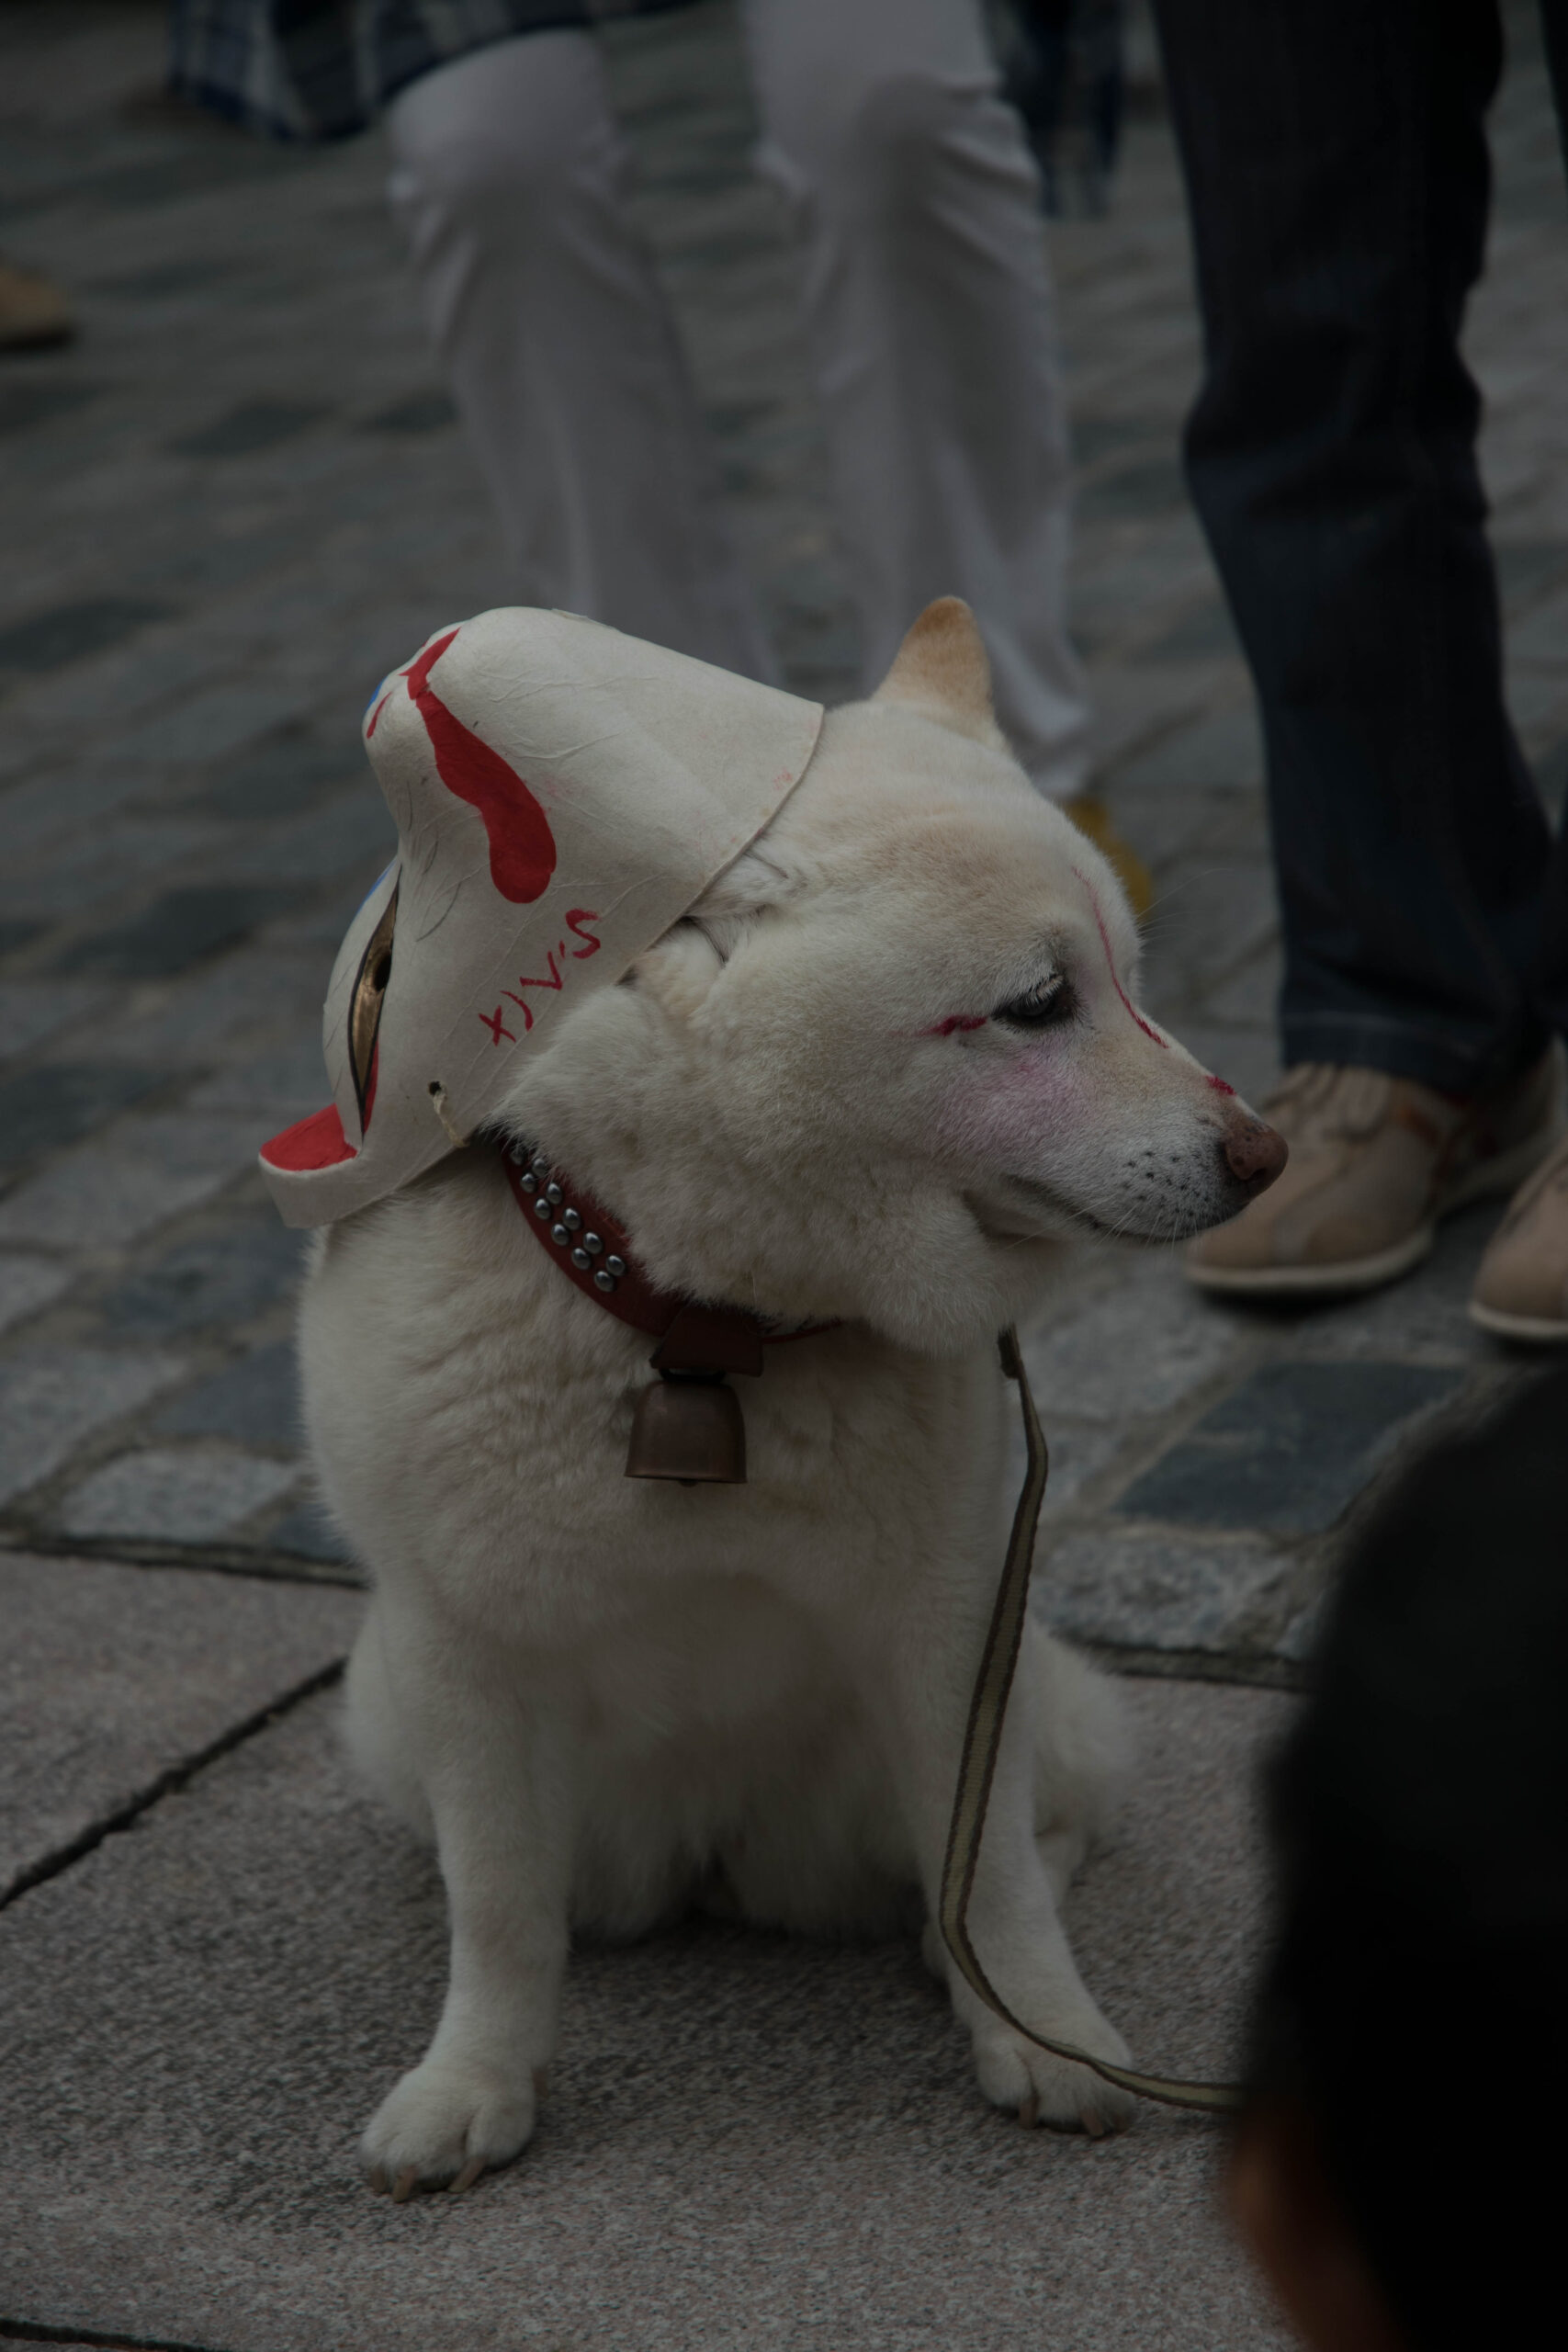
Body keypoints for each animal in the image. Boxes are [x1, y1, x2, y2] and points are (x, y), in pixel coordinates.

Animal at [297, 597, 1288, 2191]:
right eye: (1035, 1006)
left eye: (1129, 984)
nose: (1263, 1157)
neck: (692, 1327)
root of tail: (720, 1852)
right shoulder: (466, 1658)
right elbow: (498, 1908)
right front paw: (476, 2084)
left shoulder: (951, 1628)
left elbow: (991, 1875)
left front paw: (1040, 2032)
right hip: (403, 1725)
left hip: (1015, 1702)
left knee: (1015, 1842)